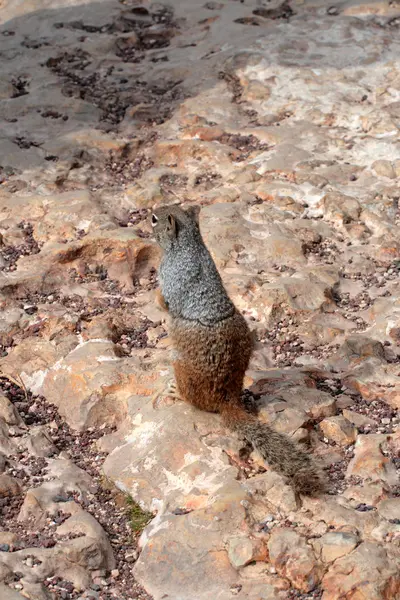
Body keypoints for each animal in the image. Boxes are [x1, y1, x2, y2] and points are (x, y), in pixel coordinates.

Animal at [150, 204, 324, 494]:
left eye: (155, 218)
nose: (146, 216)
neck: (189, 243)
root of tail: (227, 398)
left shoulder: (169, 278)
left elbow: (164, 301)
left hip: (180, 367)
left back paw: (177, 393)